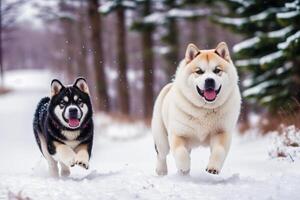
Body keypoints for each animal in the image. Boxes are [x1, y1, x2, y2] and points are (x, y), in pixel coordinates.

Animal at [152, 41, 241, 175]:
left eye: (217, 70)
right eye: (199, 71)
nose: (209, 80)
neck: (204, 109)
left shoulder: (222, 132)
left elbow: (219, 150)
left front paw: (213, 167)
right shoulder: (178, 134)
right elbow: (180, 152)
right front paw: (184, 166)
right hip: (161, 138)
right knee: (162, 154)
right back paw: (162, 170)